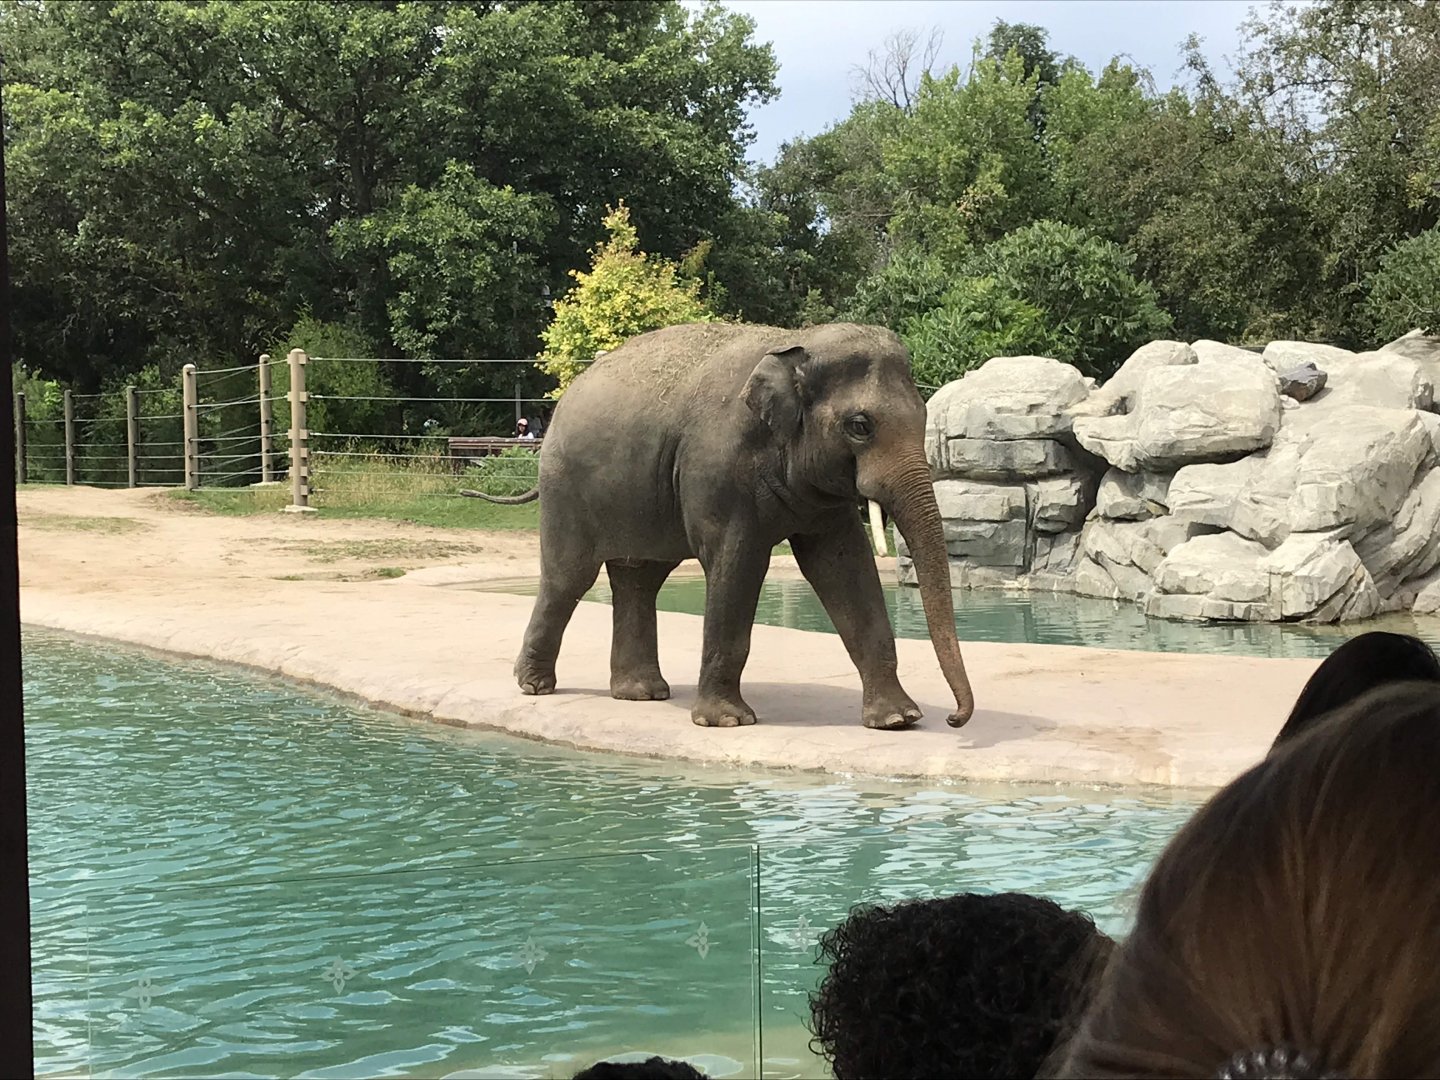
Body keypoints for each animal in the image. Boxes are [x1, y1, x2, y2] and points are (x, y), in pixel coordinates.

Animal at [511, 320, 976, 730]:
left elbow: (844, 567)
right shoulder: (718, 470)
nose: (954, 719)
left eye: (922, 416)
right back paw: (535, 686)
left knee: (639, 580)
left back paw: (642, 693)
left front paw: (898, 720)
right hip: (565, 490)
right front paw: (727, 721)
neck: (796, 342)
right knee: (568, 578)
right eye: (860, 426)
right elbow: (737, 563)